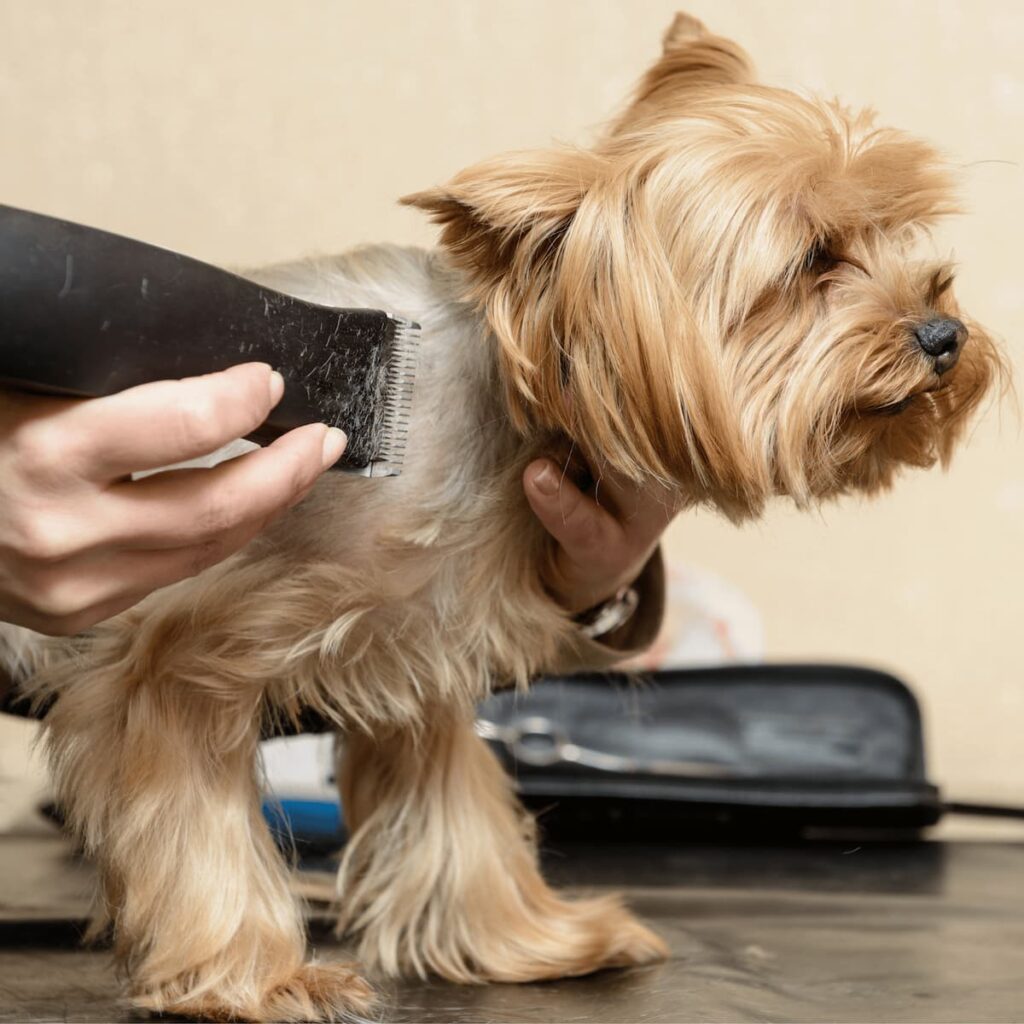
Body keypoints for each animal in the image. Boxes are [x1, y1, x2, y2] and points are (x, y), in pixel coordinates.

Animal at [2, 11, 1002, 1021]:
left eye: (896, 236)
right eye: (812, 260)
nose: (946, 334)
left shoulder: (419, 639)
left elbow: (456, 801)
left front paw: (527, 940)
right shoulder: (180, 657)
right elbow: (194, 812)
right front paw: (260, 976)